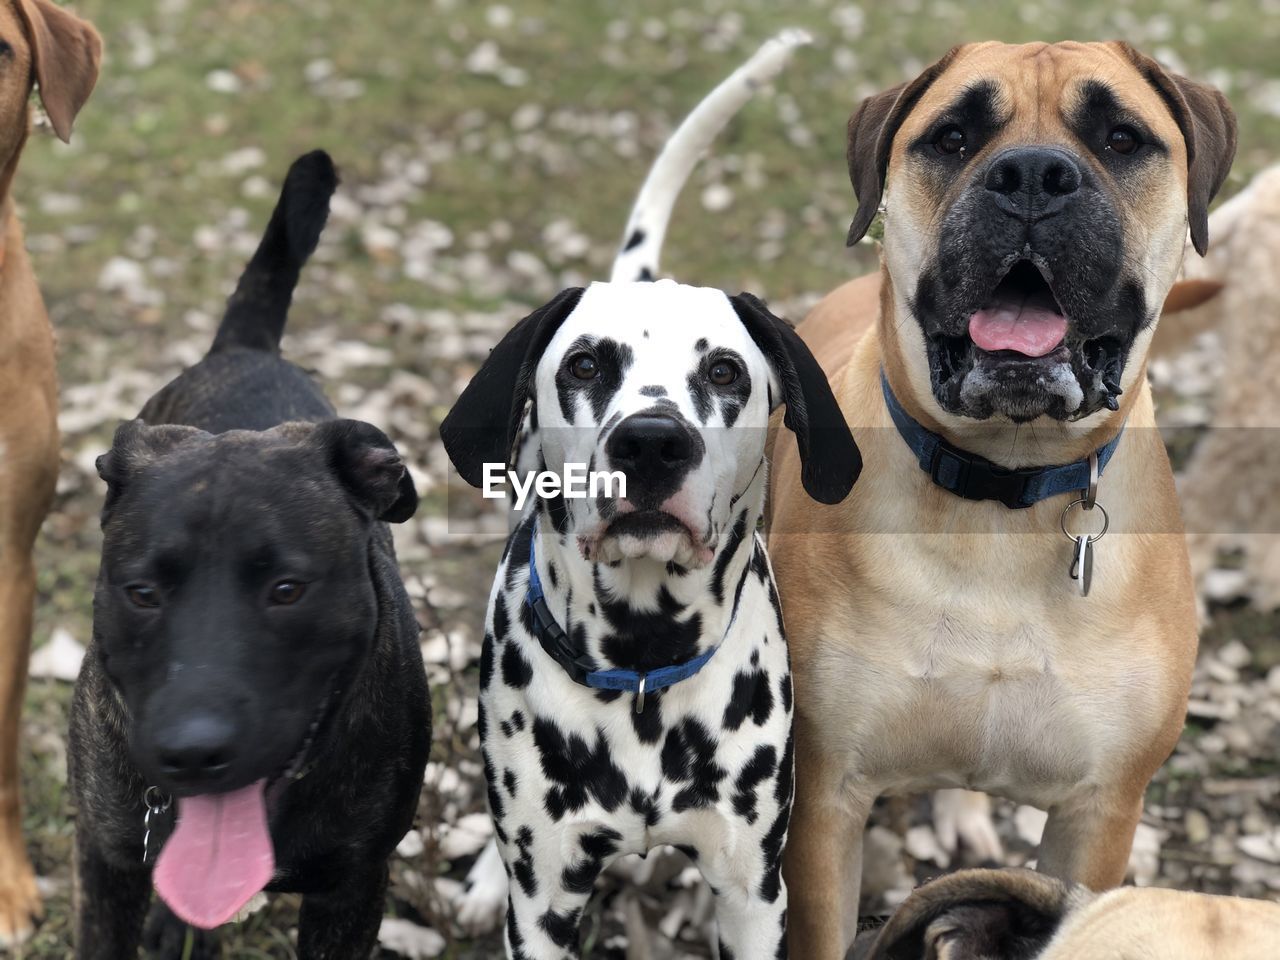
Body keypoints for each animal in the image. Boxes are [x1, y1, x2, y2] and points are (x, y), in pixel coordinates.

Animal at [68, 154, 430, 957]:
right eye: (142, 593)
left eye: (287, 590)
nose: (192, 751)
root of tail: (248, 347)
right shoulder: (107, 864)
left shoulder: (352, 888)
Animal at [442, 273, 860, 957]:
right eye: (585, 365)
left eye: (723, 371)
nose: (652, 443)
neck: (642, 662)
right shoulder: (543, 908)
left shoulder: (754, 897)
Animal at [762, 41, 1233, 957]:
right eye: (952, 137)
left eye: (1122, 138)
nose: (1032, 176)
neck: (1003, 490)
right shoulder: (826, 803)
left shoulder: (1099, 814)